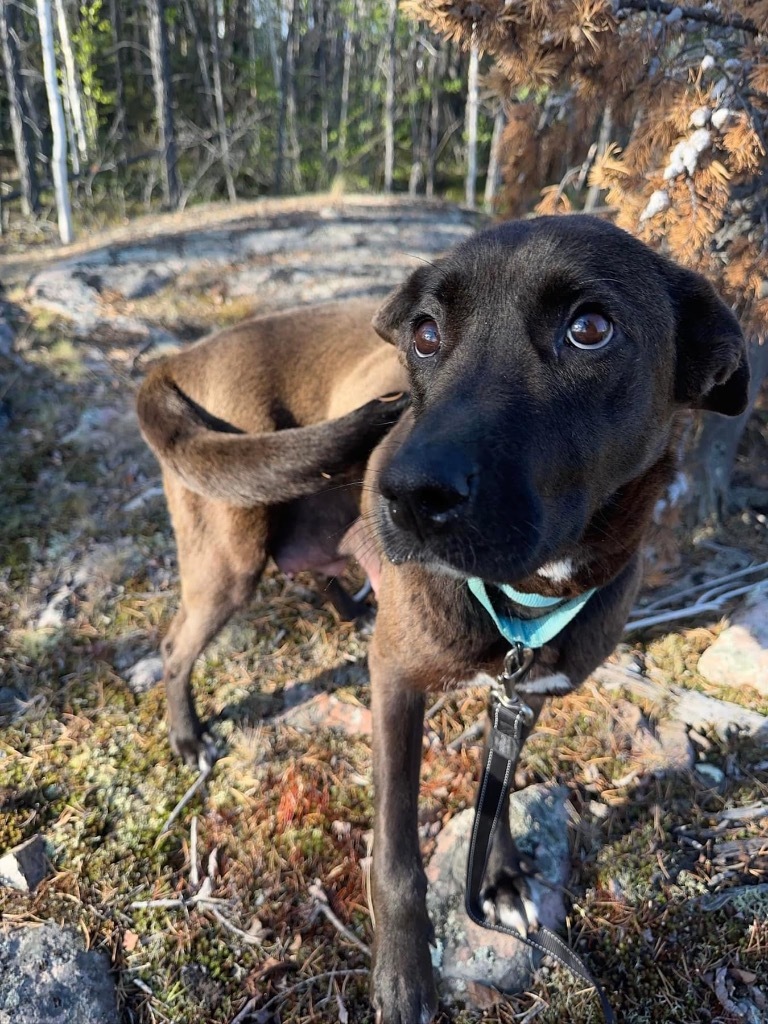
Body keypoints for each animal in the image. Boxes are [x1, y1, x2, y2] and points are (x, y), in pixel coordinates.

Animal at [135, 211, 749, 1019]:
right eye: (425, 333)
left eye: (590, 329)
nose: (405, 493)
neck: (523, 597)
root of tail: (182, 355)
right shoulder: (396, 684)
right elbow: (398, 857)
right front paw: (403, 976)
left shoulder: (523, 696)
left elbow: (499, 791)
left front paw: (503, 880)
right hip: (229, 558)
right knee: (176, 647)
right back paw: (187, 733)